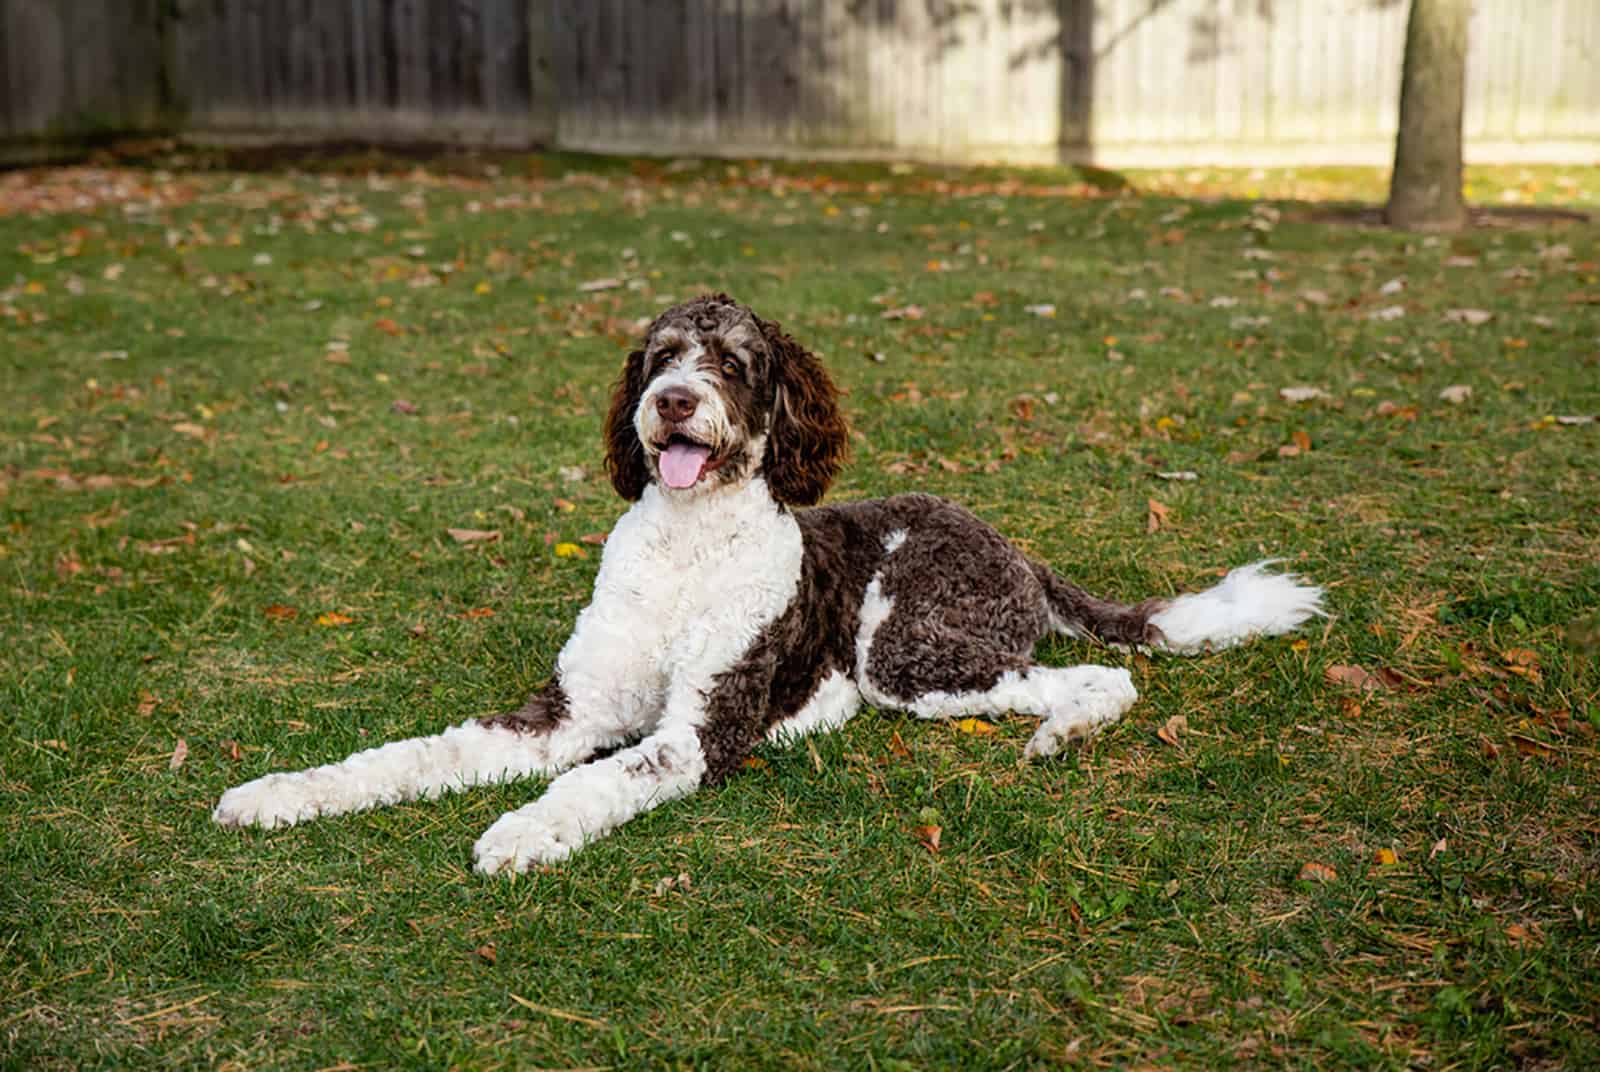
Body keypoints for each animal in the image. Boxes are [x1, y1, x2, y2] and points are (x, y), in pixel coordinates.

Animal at [212, 291, 1324, 870]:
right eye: (661, 355)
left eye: (736, 364)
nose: (670, 400)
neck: (684, 550)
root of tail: (1009, 543)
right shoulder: (563, 713)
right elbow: (410, 755)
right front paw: (282, 793)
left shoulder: (699, 730)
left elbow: (598, 779)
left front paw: (524, 829)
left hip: (906, 653)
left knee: (1096, 678)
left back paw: (1059, 733)